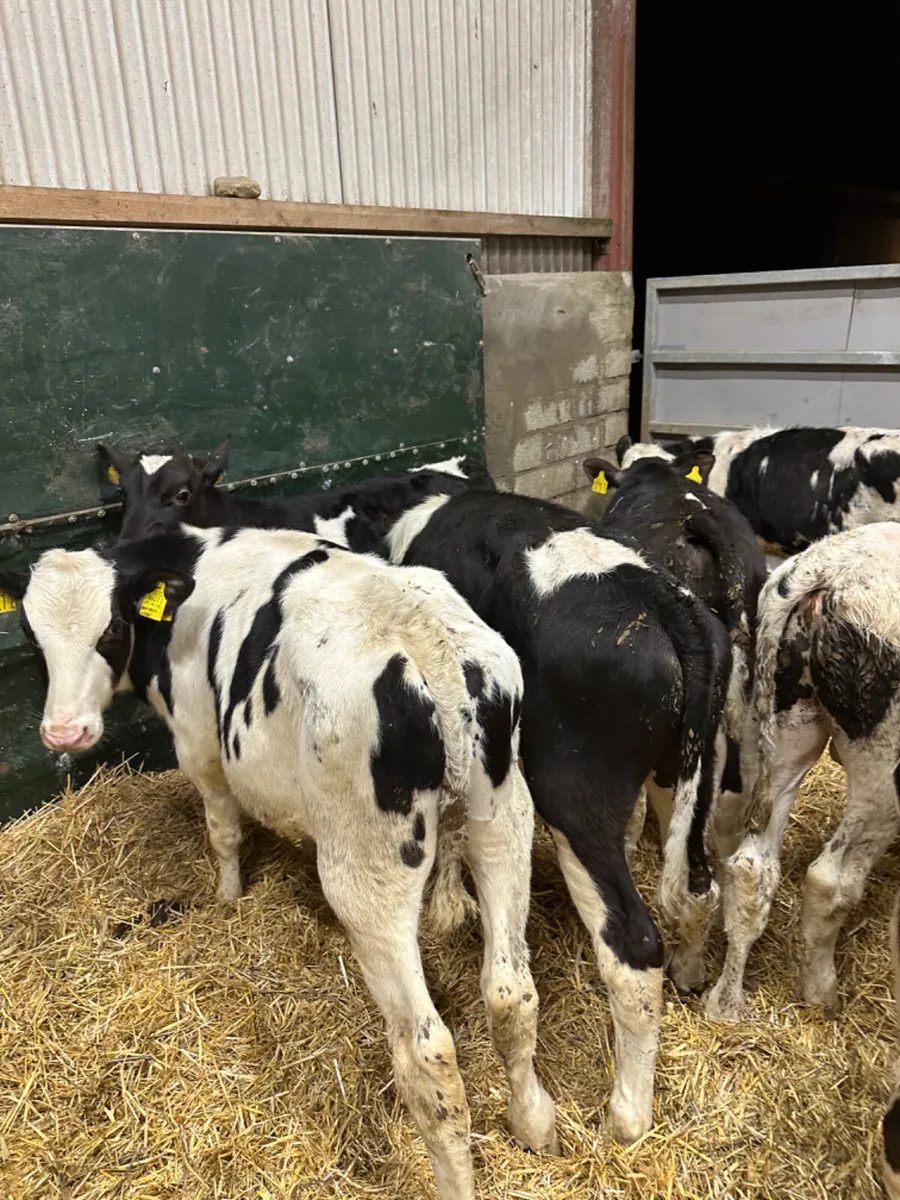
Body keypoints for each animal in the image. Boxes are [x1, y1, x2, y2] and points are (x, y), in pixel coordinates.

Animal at [0, 526, 558, 1200]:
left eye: (110, 628)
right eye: (31, 634)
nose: (63, 733)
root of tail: (425, 639)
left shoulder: (199, 745)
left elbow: (222, 832)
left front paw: (228, 897)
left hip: (368, 872)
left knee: (426, 1056)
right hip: (503, 819)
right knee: (511, 993)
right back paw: (534, 1123)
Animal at [382, 488, 732, 1143]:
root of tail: (664, 601)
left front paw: (447, 903)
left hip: (575, 796)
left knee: (632, 945)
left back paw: (626, 1115)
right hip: (692, 766)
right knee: (696, 887)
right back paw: (691, 970)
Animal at [705, 523, 900, 1022]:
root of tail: (827, 568)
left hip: (783, 730)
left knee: (751, 867)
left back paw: (726, 1002)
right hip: (883, 765)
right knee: (829, 879)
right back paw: (821, 993)